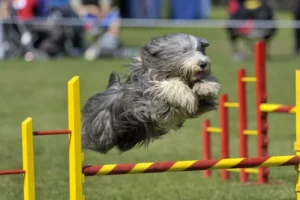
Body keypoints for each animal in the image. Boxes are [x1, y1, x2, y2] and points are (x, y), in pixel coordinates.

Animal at [81, 33, 221, 153]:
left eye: (200, 50)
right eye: (184, 51)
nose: (203, 63)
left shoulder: (199, 106)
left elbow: (203, 96)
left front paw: (207, 86)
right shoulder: (151, 103)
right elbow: (167, 85)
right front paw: (185, 95)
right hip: (102, 130)